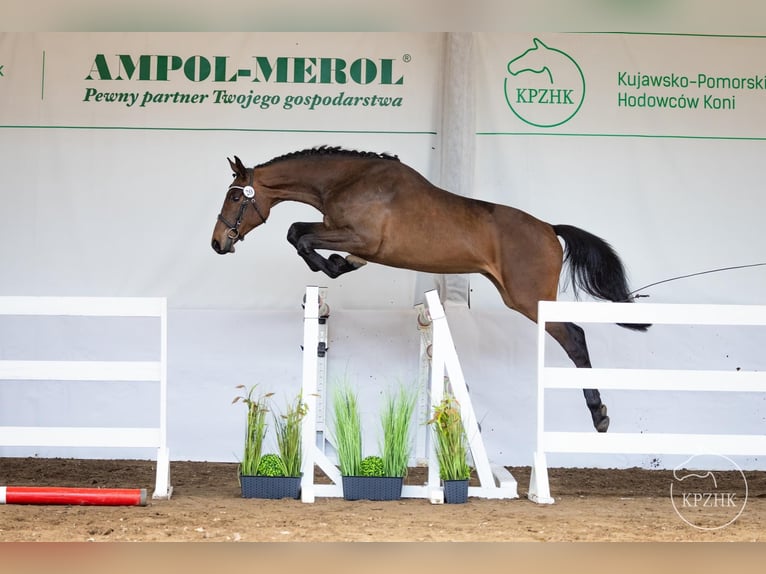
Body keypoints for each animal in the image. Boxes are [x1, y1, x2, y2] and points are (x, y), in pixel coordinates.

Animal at [213, 146, 652, 434]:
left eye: (235, 196)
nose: (218, 243)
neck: (349, 180)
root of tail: (549, 229)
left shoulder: (361, 237)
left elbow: (300, 236)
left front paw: (330, 265)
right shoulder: (345, 234)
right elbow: (300, 234)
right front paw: (339, 265)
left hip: (528, 298)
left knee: (574, 336)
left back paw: (599, 414)